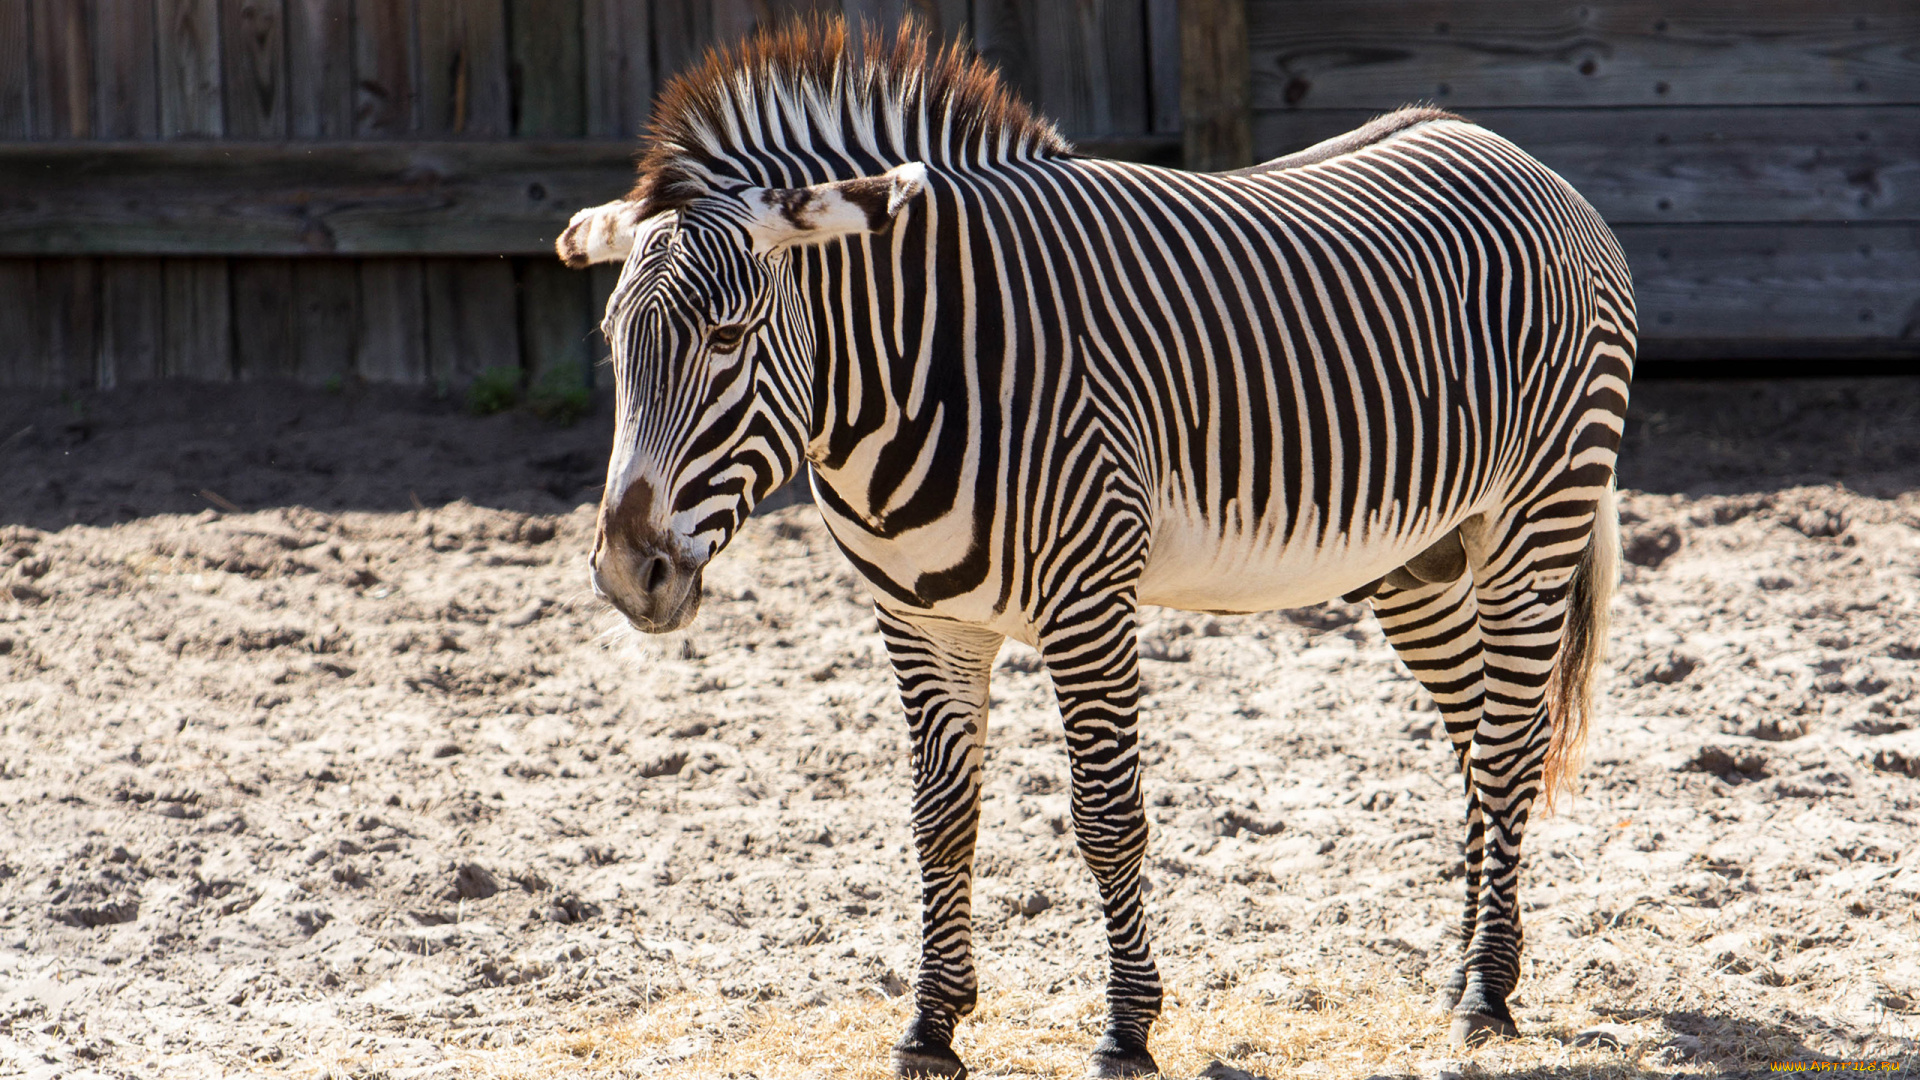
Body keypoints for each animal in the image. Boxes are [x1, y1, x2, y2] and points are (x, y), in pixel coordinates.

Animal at [564, 21, 1635, 1076]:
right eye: (613, 341)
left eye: (727, 337)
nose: (627, 573)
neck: (923, 373)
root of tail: (1507, 147)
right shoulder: (920, 617)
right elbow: (939, 819)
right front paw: (931, 1027)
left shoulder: (1088, 603)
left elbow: (1107, 818)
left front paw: (1126, 1031)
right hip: (1420, 559)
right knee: (1474, 738)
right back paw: (1465, 975)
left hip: (1536, 517)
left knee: (1508, 745)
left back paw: (1487, 997)